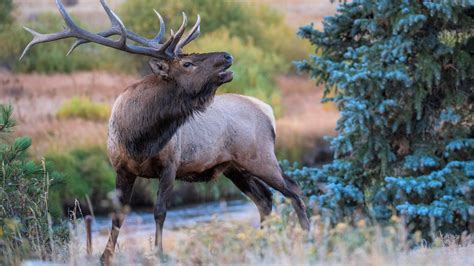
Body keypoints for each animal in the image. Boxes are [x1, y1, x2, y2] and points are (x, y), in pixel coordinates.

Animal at [21, 0, 312, 262]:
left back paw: (305, 238)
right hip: (234, 167)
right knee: (266, 199)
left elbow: (160, 211)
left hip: (261, 157)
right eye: (187, 64)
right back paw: (262, 245)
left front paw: (159, 253)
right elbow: (118, 215)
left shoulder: (170, 164)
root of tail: (267, 110)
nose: (227, 56)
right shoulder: (122, 168)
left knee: (293, 189)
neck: (140, 139)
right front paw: (105, 256)